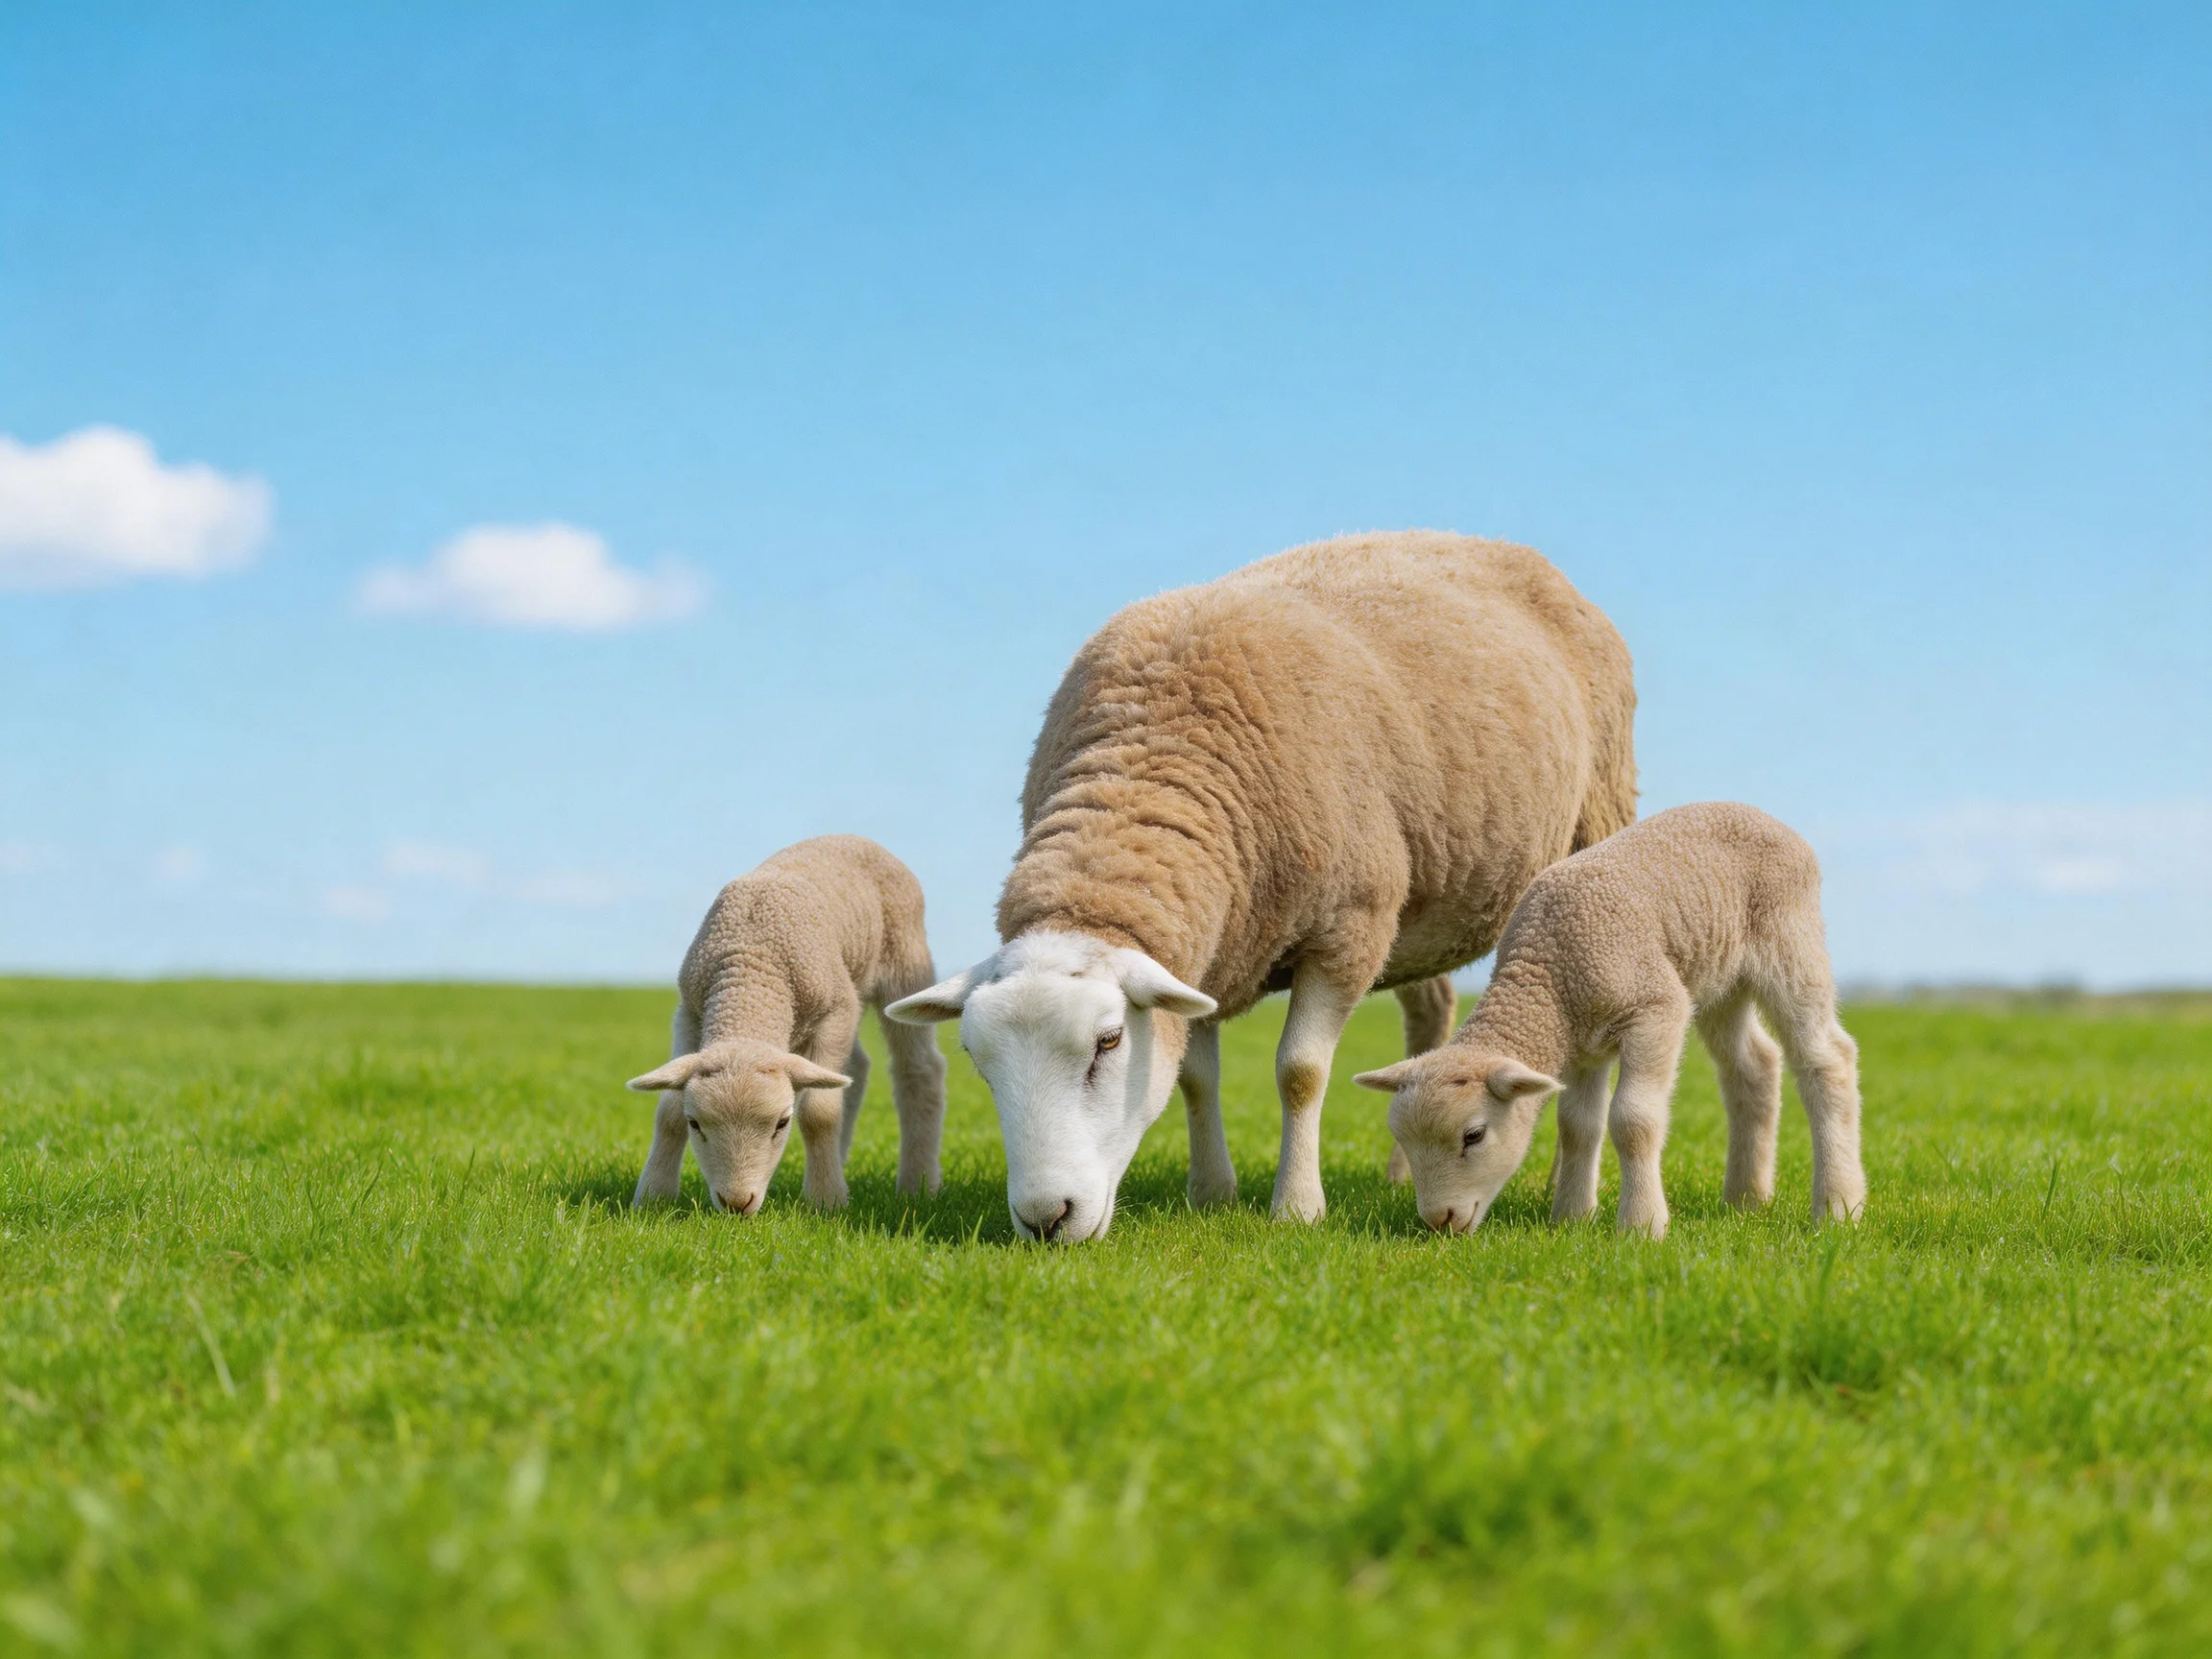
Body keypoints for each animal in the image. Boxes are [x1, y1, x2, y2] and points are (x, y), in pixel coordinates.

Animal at [627, 835, 949, 1215]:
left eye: (782, 1123)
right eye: (696, 1123)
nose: (737, 1203)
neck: (751, 972)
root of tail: (855, 838)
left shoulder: (836, 1010)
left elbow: (819, 1113)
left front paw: (826, 1201)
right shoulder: (690, 1013)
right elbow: (668, 1111)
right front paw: (653, 1197)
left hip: (904, 962)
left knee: (918, 1068)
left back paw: (918, 1185)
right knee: (853, 1069)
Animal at [887, 530, 1636, 1241]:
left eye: (1108, 1043)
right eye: (976, 1058)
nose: (1047, 1219)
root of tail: (1505, 550)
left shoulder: (1348, 926)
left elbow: (1300, 1071)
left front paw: (1297, 1208)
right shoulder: (1207, 952)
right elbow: (1194, 1076)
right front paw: (1212, 1193)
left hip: (1591, 822)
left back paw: (1562, 1188)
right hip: (1423, 909)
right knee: (1431, 1012)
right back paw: (1402, 1174)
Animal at [1353, 801, 1866, 1239]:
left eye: (1473, 1136)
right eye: (1402, 1139)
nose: (1438, 1220)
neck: (1548, 974)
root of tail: (1766, 817)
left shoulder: (1656, 1010)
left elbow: (1632, 1119)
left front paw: (1641, 1226)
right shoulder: (1583, 1047)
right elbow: (1577, 1126)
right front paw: (1571, 1218)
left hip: (1789, 939)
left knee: (1827, 1059)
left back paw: (1839, 1206)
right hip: (1720, 978)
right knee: (1753, 1066)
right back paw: (1746, 1200)